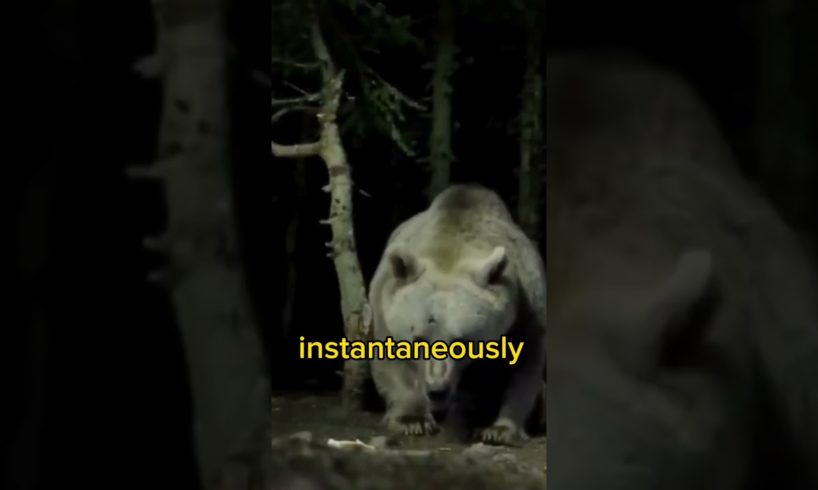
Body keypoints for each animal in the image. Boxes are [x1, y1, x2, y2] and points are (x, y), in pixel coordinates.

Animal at [368, 183, 546, 445]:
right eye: (418, 339)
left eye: (461, 342)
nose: (437, 390)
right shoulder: (385, 305)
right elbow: (390, 362)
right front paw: (412, 421)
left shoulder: (525, 309)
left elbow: (523, 367)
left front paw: (499, 429)